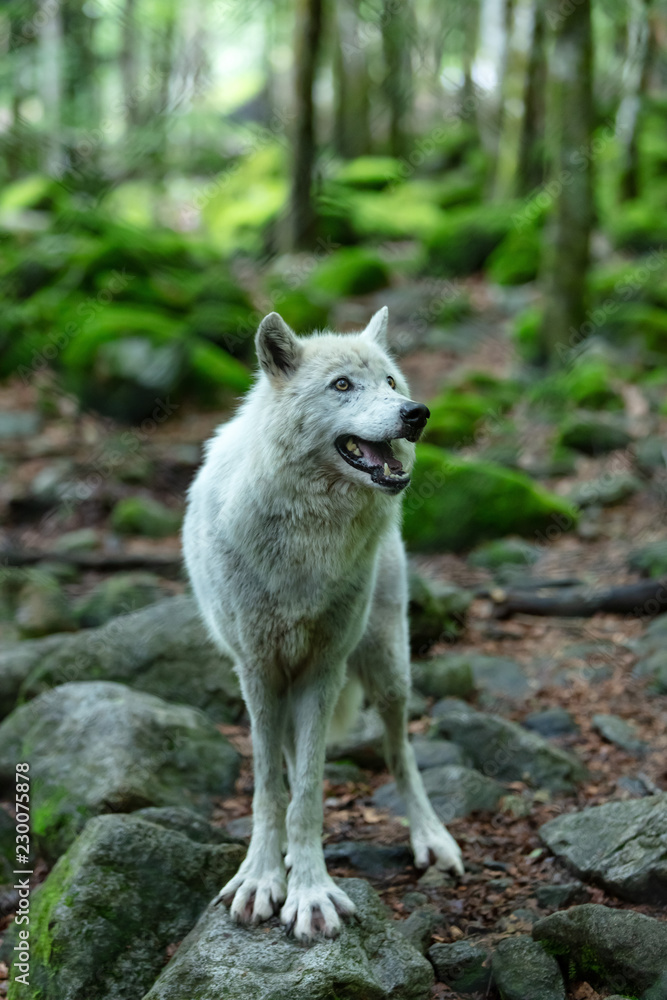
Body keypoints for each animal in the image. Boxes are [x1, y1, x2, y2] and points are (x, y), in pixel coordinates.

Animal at [182, 307, 463, 942]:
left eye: (390, 382)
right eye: (342, 385)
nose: (416, 413)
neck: (306, 544)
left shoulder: (324, 668)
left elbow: (308, 790)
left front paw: (310, 894)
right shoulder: (259, 670)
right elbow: (269, 787)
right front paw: (263, 879)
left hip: (387, 666)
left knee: (400, 752)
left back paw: (431, 838)